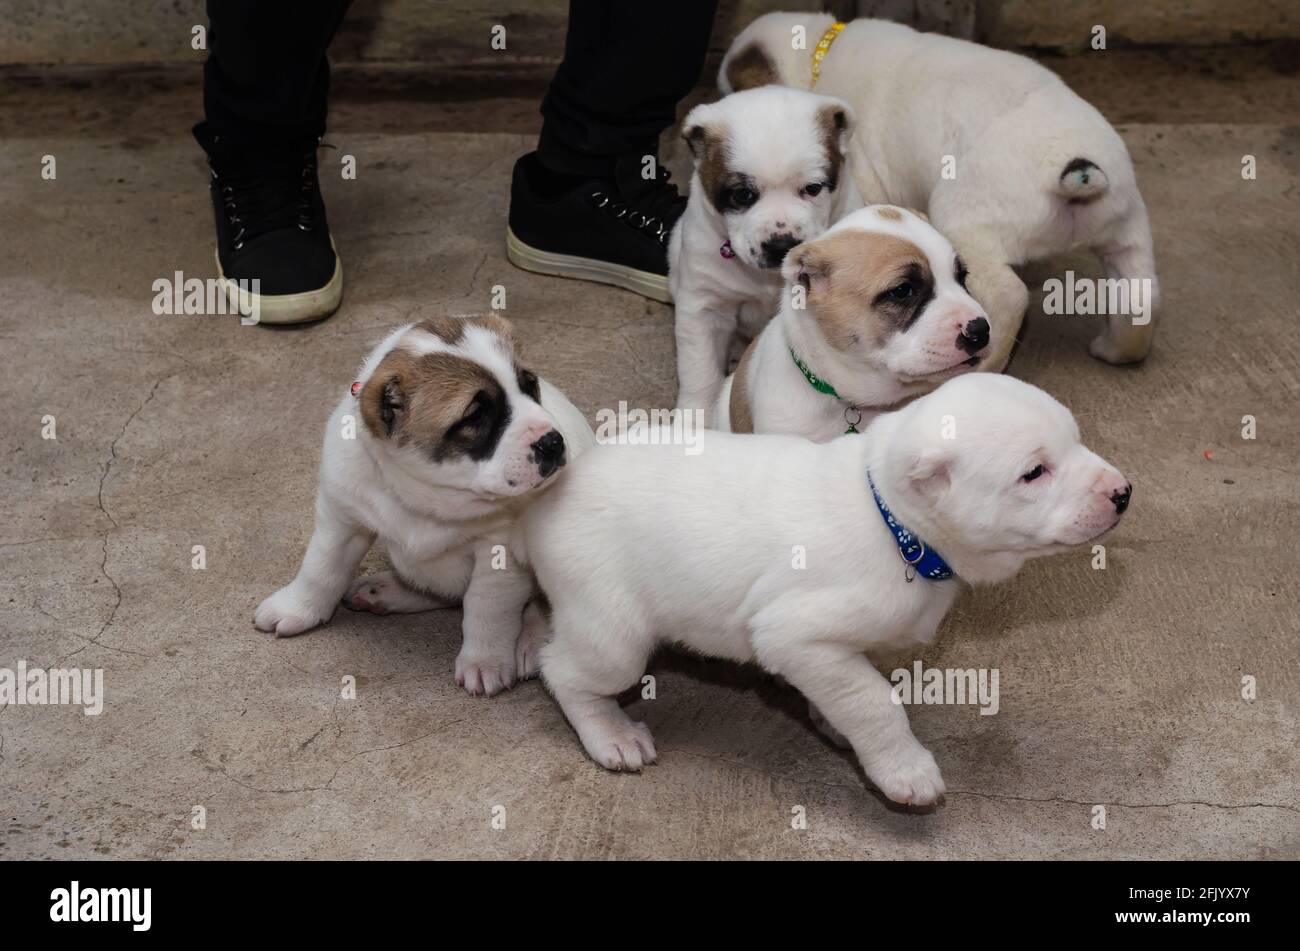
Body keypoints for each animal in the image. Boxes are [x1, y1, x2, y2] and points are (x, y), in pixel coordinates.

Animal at [252, 315, 595, 696]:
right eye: (475, 416)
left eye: (530, 385)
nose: (553, 443)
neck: (428, 494)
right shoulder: (341, 520)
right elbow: (321, 568)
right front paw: (298, 607)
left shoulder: (498, 553)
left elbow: (487, 608)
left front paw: (485, 659)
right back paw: (386, 591)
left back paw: (531, 642)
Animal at [517, 374, 1128, 805]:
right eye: (1034, 473)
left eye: (1075, 440)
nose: (1123, 493)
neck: (891, 521)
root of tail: (559, 487)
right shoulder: (792, 633)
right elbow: (875, 702)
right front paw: (904, 768)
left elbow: (851, 688)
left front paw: (832, 721)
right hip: (612, 634)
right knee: (564, 673)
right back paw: (611, 735)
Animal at [670, 86, 863, 423]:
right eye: (743, 194)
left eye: (813, 188)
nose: (781, 244)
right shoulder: (703, 307)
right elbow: (700, 371)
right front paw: (694, 420)